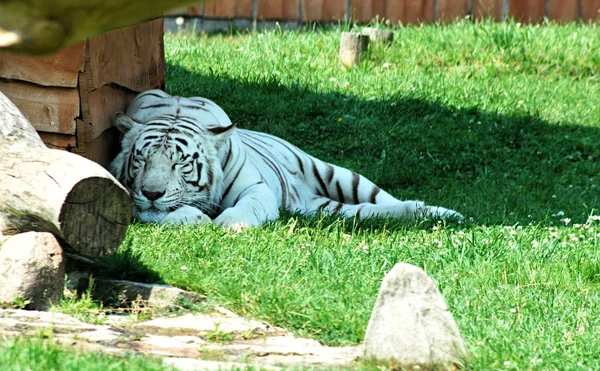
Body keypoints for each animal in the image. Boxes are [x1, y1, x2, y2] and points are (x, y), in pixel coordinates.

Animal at [109, 89, 464, 230]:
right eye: (141, 160)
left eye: (179, 162)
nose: (152, 193)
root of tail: (300, 198)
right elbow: (154, 213)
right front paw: (190, 218)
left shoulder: (255, 188)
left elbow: (247, 208)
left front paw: (229, 223)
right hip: (328, 210)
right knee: (372, 212)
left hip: (337, 174)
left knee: (389, 199)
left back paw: (448, 214)